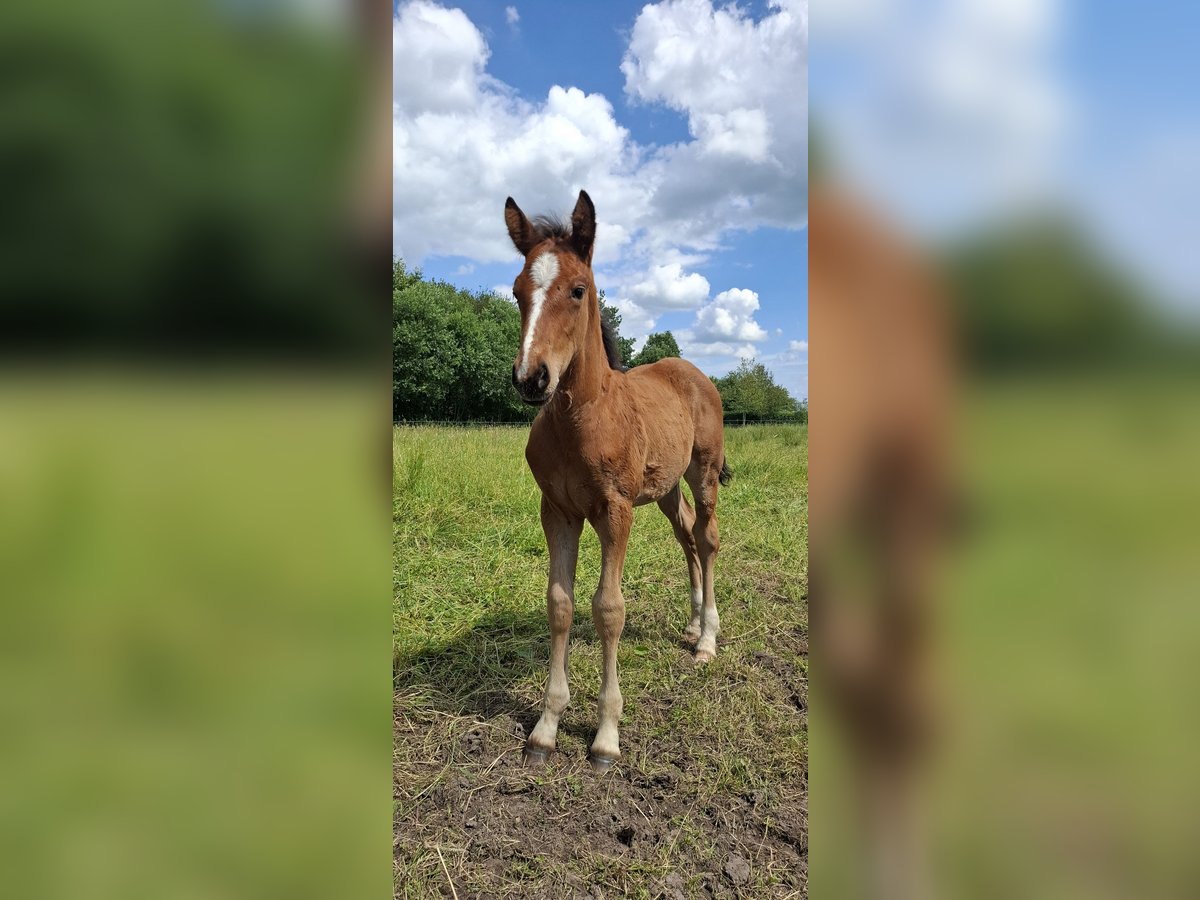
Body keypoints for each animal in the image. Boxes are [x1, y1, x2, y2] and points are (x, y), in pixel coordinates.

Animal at [506, 190, 729, 768]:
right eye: (517, 291)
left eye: (578, 290)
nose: (531, 378)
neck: (581, 416)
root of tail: (694, 372)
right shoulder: (557, 511)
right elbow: (560, 604)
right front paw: (545, 728)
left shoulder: (615, 509)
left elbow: (608, 609)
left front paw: (606, 735)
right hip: (667, 488)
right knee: (686, 534)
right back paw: (692, 623)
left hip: (704, 471)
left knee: (708, 537)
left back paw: (707, 639)